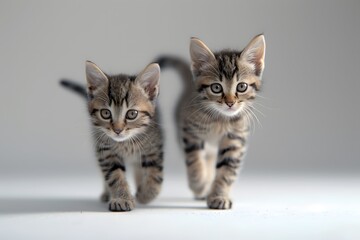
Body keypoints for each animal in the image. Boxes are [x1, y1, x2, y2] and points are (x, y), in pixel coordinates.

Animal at [60, 61, 165, 211]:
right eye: (105, 113)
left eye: (132, 114)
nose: (117, 130)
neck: (126, 143)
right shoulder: (105, 151)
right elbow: (114, 175)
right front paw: (122, 198)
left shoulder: (154, 147)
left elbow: (155, 175)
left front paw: (145, 195)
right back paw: (107, 193)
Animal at [159, 34, 266, 210]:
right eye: (216, 88)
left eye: (242, 87)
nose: (230, 103)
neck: (220, 119)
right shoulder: (190, 132)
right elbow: (194, 161)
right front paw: (199, 184)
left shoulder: (235, 139)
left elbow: (226, 171)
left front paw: (219, 196)